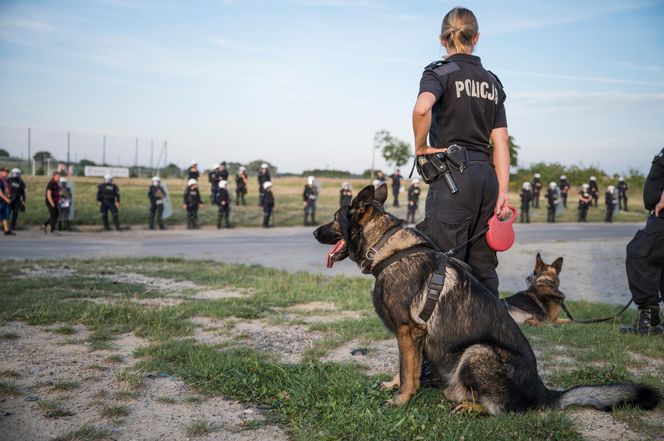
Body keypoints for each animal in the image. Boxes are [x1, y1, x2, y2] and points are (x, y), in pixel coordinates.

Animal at [314, 184, 660, 414]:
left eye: (334, 217)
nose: (314, 233)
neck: (388, 248)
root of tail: (544, 393)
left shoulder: (408, 332)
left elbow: (408, 372)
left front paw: (400, 399)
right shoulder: (409, 335)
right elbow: (403, 368)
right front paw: (393, 385)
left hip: (477, 351)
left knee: (500, 410)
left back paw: (470, 407)